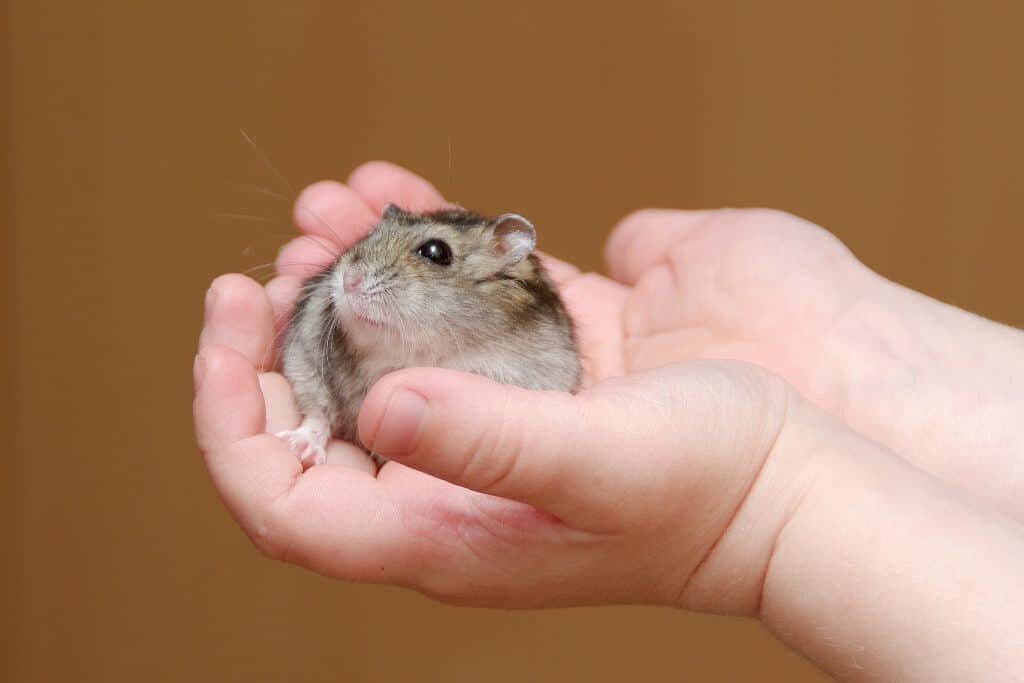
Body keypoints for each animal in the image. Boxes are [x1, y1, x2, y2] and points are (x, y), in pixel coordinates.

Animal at [276, 204, 581, 471]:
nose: (348, 281)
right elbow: (318, 413)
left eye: (435, 251)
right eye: (369, 235)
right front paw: (297, 448)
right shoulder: (305, 360)